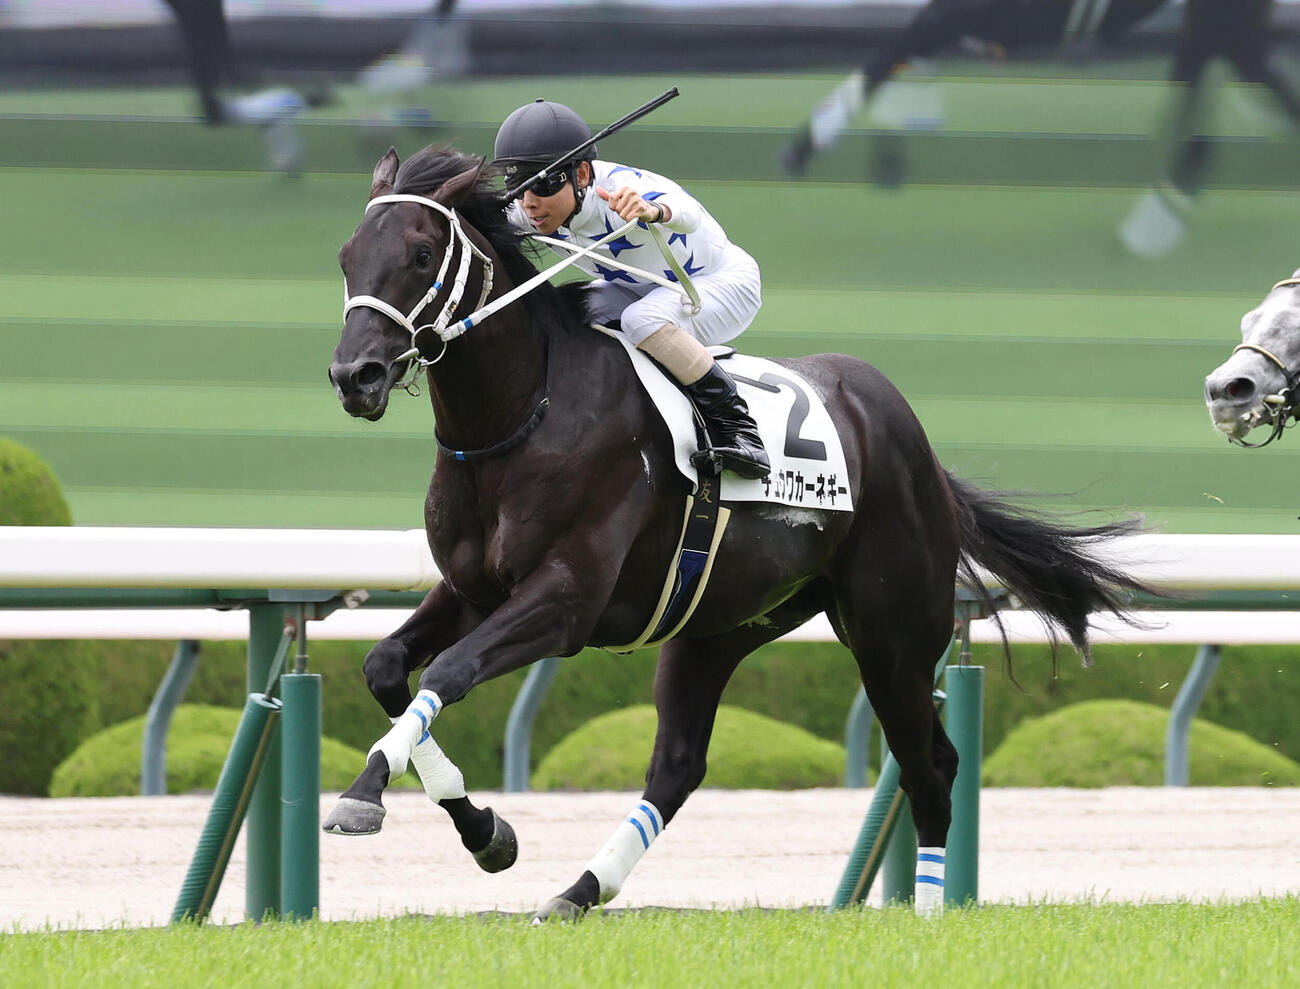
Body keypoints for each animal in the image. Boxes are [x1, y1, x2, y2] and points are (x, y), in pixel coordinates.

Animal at [324, 144, 1149, 921]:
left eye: (421, 254)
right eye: (346, 256)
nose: (354, 375)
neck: (523, 417)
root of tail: (919, 448)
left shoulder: (566, 600)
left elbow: (449, 670)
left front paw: (366, 792)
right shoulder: (472, 589)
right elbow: (387, 666)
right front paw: (484, 829)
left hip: (892, 633)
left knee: (930, 763)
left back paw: (928, 905)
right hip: (717, 625)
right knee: (679, 764)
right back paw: (580, 890)